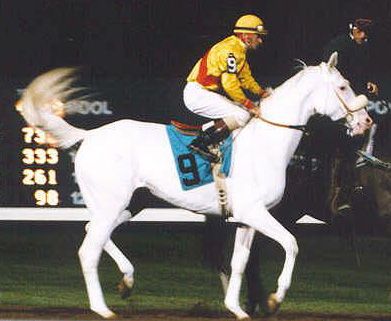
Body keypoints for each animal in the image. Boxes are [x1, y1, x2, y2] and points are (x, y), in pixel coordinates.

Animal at [16, 52, 374, 318]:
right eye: (343, 86)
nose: (365, 121)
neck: (267, 144)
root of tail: (89, 136)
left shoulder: (245, 219)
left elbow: (239, 262)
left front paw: (236, 308)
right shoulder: (257, 213)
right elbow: (291, 244)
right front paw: (274, 299)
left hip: (129, 203)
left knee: (93, 231)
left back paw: (127, 281)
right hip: (112, 203)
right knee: (89, 249)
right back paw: (102, 308)